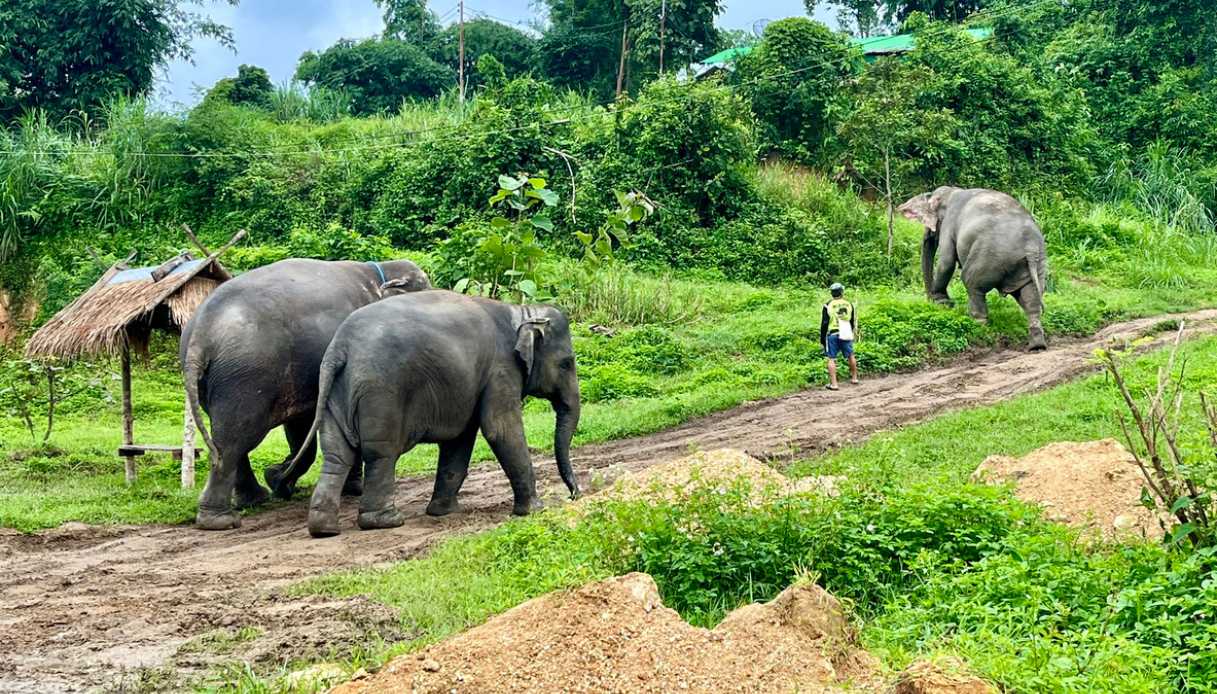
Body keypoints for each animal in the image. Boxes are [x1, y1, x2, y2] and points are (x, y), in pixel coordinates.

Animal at [177, 256, 430, 525]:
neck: (379, 271)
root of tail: (201, 334)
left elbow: (300, 426)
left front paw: (278, 479)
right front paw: (281, 480)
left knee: (229, 438)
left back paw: (254, 499)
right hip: (245, 376)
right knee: (235, 440)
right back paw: (221, 520)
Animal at [282, 288, 586, 538]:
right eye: (567, 363)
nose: (574, 495)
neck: (521, 312)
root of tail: (339, 348)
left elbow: (459, 441)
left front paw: (442, 512)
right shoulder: (501, 369)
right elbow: (499, 429)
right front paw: (535, 510)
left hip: (334, 392)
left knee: (337, 455)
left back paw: (324, 529)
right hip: (381, 392)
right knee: (381, 453)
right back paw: (386, 522)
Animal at [895, 185, 1046, 350]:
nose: (931, 301)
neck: (951, 191)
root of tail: (1030, 246)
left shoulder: (949, 223)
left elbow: (946, 261)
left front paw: (943, 303)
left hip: (988, 257)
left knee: (972, 284)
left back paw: (978, 325)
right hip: (1035, 264)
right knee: (1030, 299)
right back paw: (1036, 345)